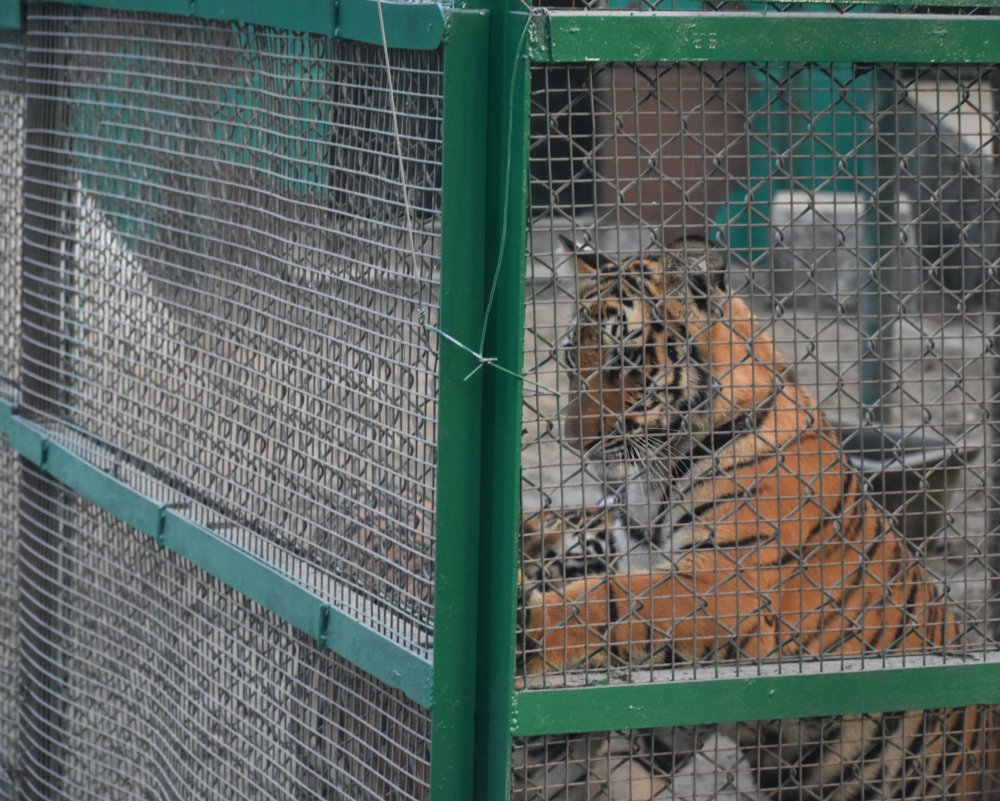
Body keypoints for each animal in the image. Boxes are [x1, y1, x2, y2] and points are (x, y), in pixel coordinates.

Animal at [524, 236, 1000, 800]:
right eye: (573, 355)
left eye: (626, 356)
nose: (576, 442)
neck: (660, 474)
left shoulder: (727, 581)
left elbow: (607, 603)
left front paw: (525, 631)